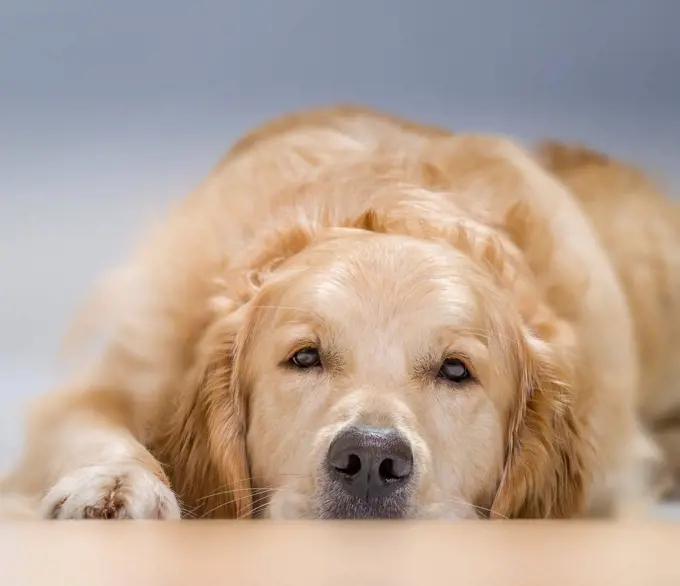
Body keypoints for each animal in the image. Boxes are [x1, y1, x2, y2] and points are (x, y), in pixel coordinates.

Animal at [1, 105, 680, 516]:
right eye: (304, 358)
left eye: (457, 370)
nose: (372, 460)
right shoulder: (130, 370)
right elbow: (94, 425)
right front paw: (116, 485)